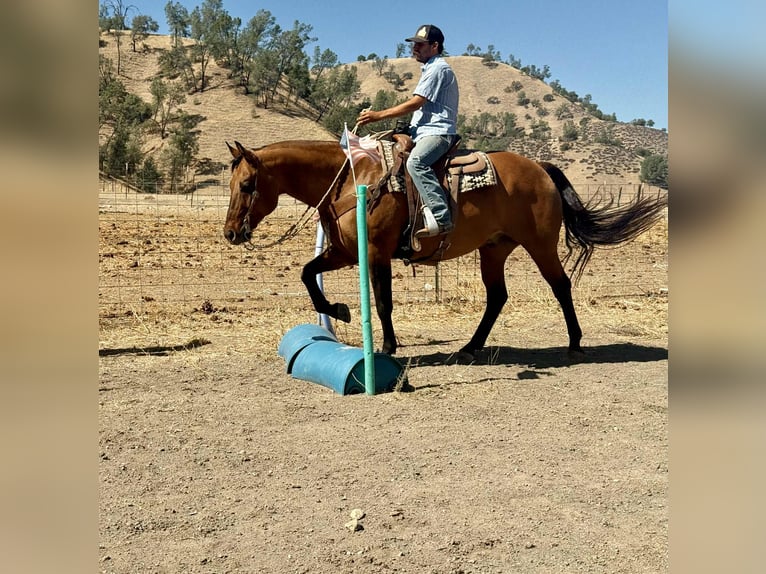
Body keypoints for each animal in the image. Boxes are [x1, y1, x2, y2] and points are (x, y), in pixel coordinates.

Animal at [223, 139, 666, 360]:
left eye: (246, 184)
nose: (230, 233)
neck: (353, 178)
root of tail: (541, 167)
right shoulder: (345, 253)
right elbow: (306, 274)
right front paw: (339, 310)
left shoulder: (377, 252)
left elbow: (383, 302)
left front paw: (387, 348)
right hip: (494, 249)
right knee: (497, 296)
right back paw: (471, 346)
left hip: (540, 244)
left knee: (560, 285)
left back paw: (574, 343)